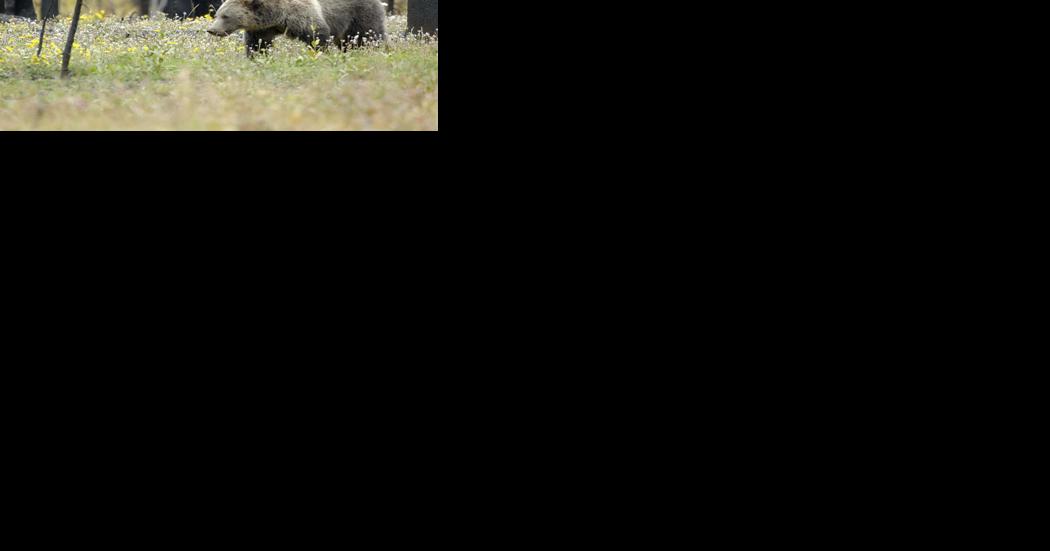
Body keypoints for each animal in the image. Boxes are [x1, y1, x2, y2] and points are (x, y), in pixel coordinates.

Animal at [206, 0, 386, 57]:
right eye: (217, 14)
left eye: (225, 16)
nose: (211, 30)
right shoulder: (263, 28)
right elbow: (258, 44)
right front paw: (257, 57)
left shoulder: (302, 15)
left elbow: (317, 36)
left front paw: (322, 54)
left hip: (359, 14)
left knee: (369, 36)